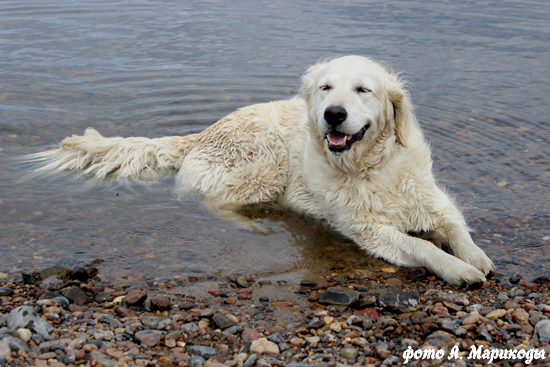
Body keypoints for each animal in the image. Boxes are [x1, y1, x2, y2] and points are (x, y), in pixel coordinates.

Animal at [28, 56, 496, 286]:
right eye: (326, 87)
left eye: (364, 90)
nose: (333, 114)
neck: (370, 166)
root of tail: (200, 134)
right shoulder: (368, 231)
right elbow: (420, 246)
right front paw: (458, 270)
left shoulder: (432, 202)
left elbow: (456, 228)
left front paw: (476, 257)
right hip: (265, 162)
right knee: (210, 202)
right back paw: (253, 226)